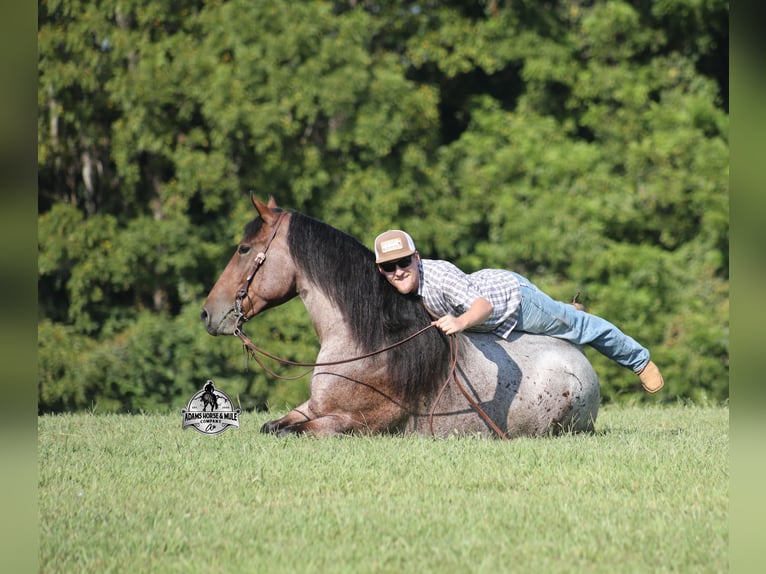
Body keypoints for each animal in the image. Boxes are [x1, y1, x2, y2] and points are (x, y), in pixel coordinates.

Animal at [200, 196, 600, 438]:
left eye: (244, 249)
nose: (208, 314)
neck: (371, 345)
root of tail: (580, 361)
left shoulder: (357, 423)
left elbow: (291, 431)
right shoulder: (312, 407)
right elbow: (273, 425)